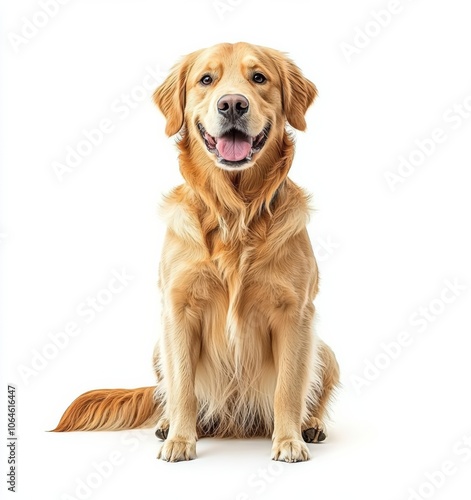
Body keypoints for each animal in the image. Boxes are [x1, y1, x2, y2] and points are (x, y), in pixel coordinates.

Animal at [54, 41, 340, 462]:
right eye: (206, 79)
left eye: (259, 78)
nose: (233, 104)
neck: (235, 214)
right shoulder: (179, 310)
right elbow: (183, 388)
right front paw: (179, 440)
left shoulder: (295, 311)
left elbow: (288, 387)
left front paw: (288, 441)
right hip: (158, 347)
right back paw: (168, 425)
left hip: (324, 350)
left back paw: (311, 425)